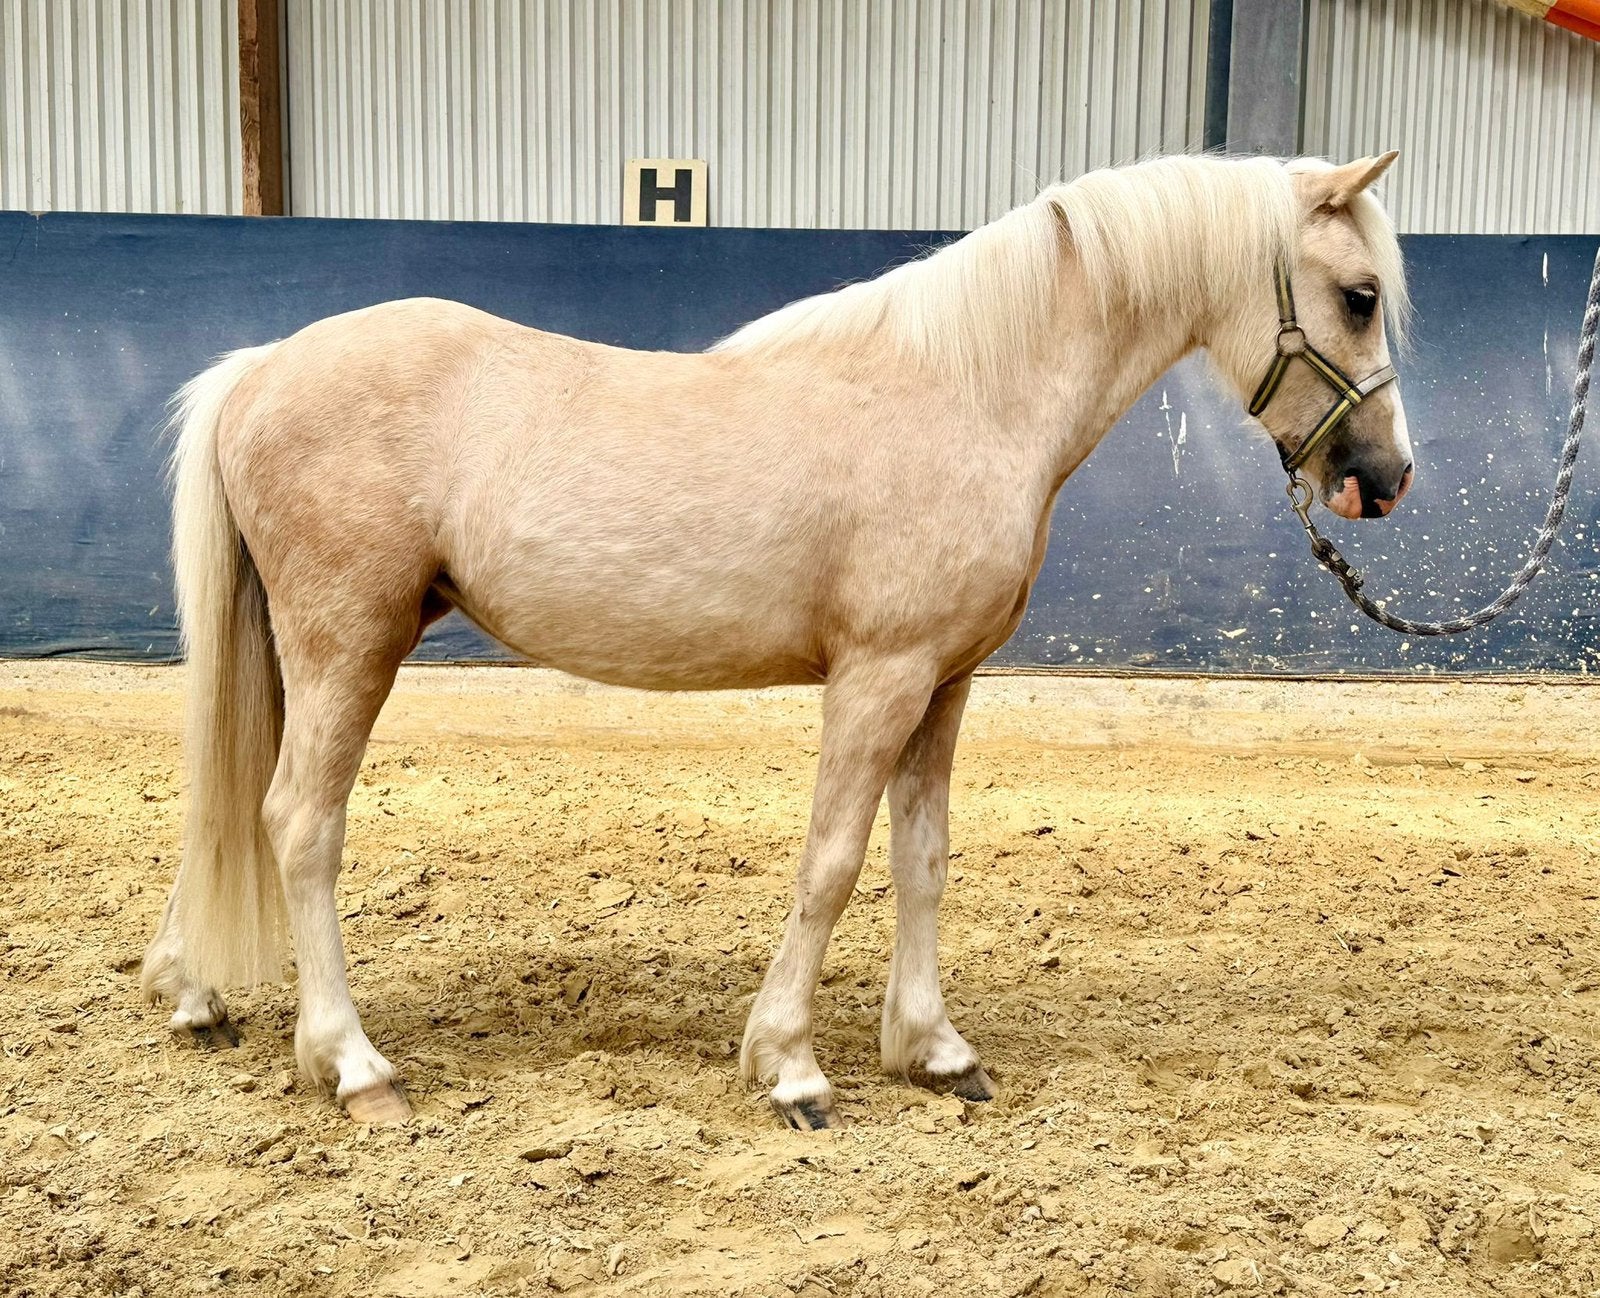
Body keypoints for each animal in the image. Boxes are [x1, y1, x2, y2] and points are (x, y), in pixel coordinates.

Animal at [141, 151, 1414, 1130]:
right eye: (1357, 294)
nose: (1386, 478)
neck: (964, 391)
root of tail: (260, 367)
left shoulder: (944, 681)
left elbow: (922, 857)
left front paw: (932, 1047)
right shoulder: (878, 676)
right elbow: (832, 861)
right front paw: (791, 1065)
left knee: (235, 803)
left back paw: (199, 994)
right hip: (347, 645)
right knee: (298, 822)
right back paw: (355, 1064)